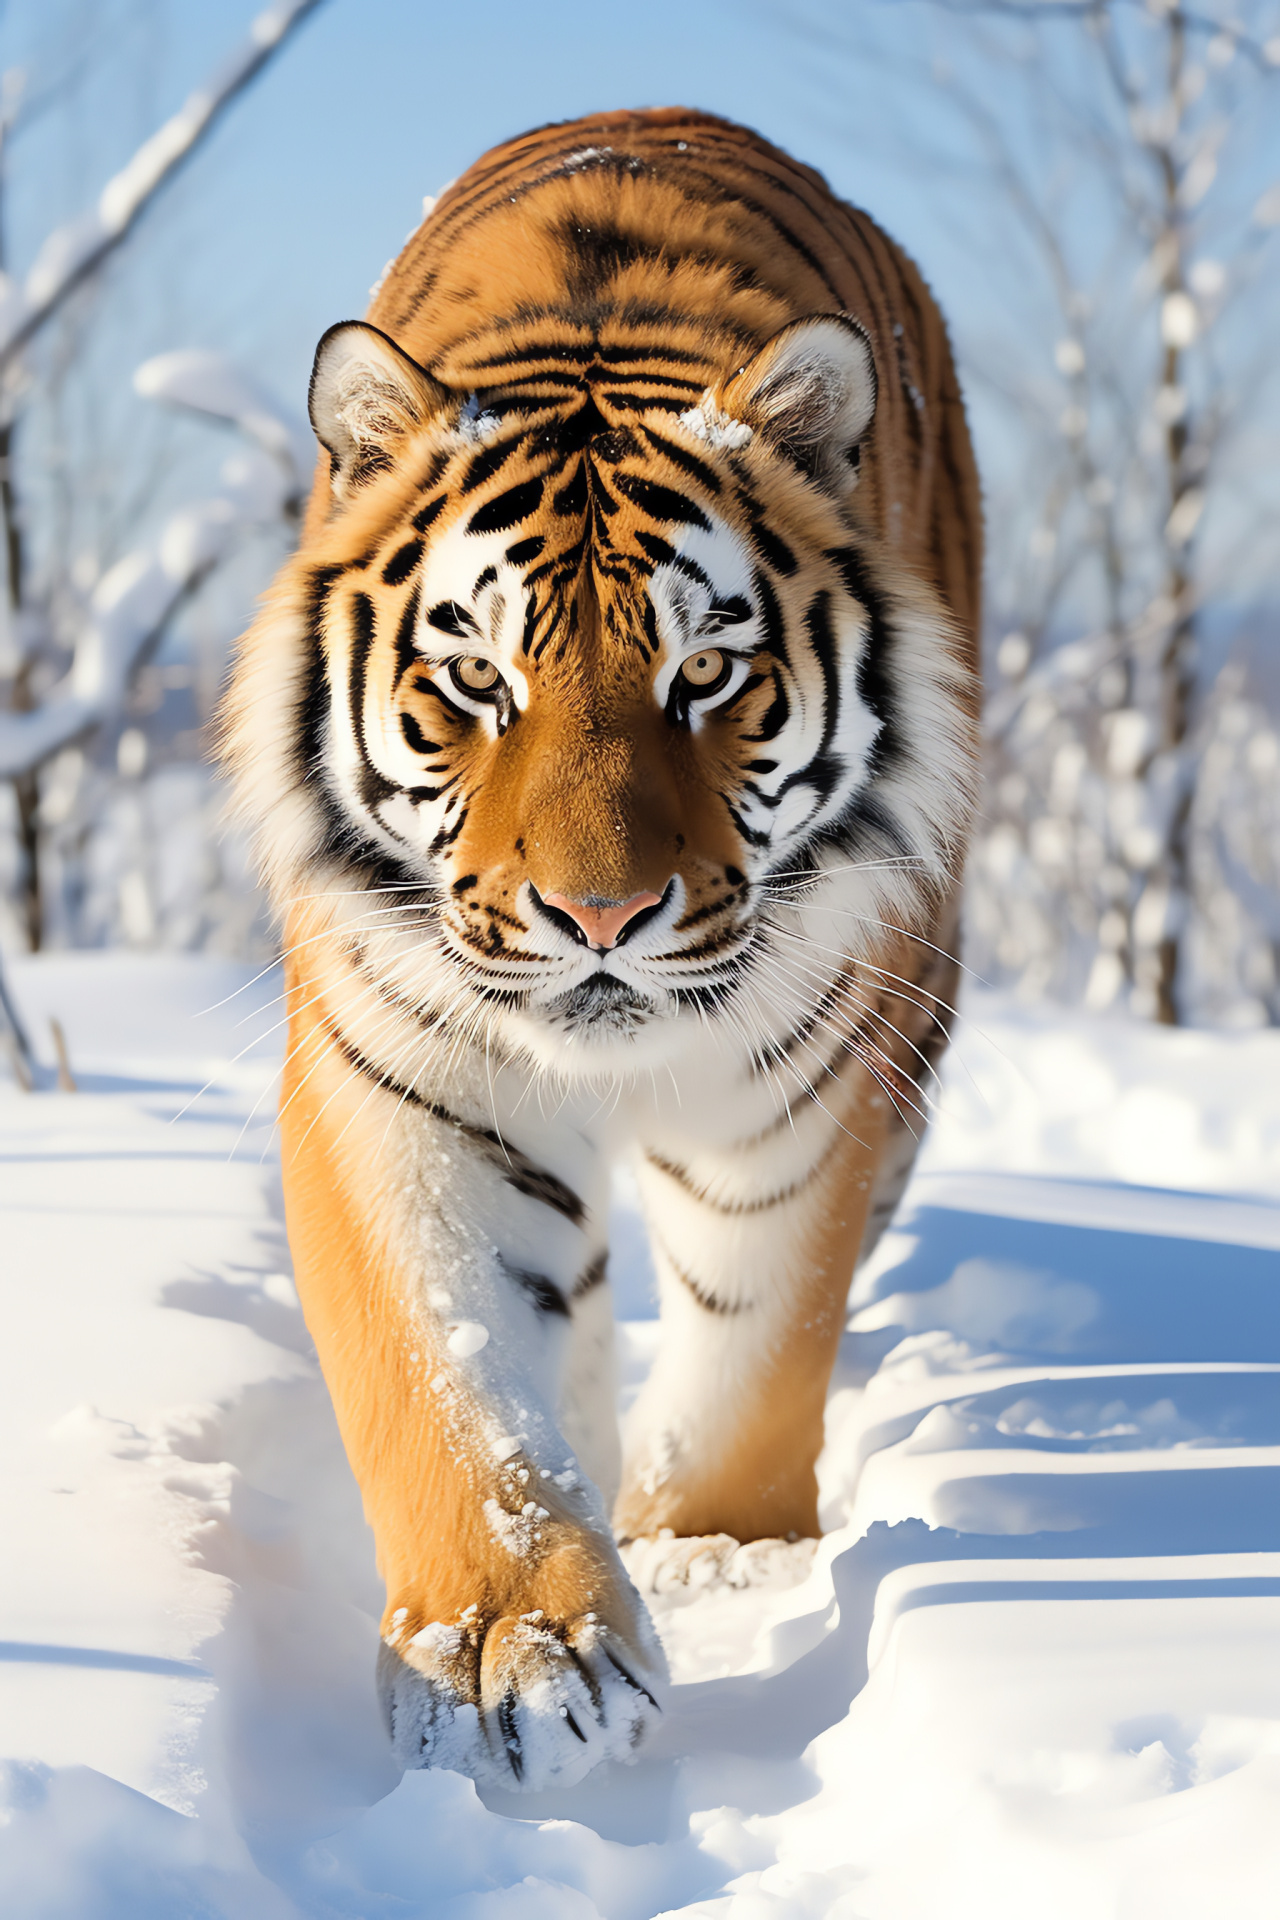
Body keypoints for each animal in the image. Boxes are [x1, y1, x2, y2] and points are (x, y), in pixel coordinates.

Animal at [220, 101, 982, 1781]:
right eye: (477, 679)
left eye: (708, 675)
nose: (601, 918)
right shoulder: (404, 1087)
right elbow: (446, 1374)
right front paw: (515, 1645)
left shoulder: (803, 1099)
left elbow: (757, 1353)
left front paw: (718, 1564)